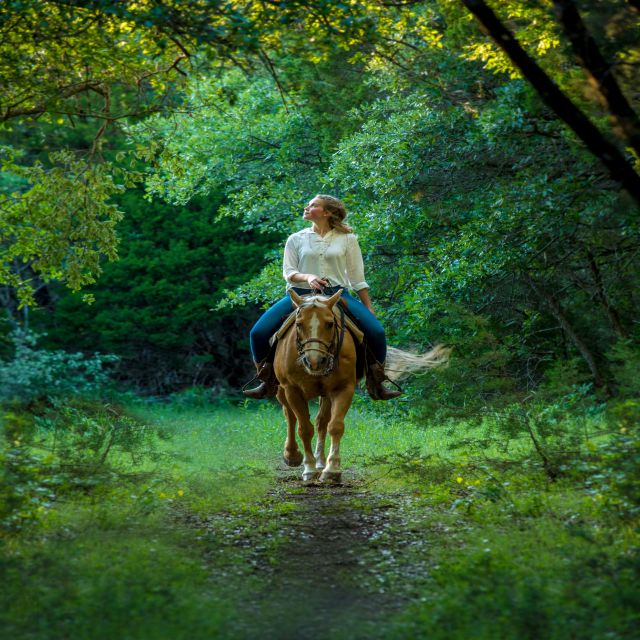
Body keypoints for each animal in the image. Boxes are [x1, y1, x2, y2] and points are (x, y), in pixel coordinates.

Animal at [272, 288, 448, 482]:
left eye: (330, 324)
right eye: (299, 324)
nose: (315, 361)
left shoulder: (343, 389)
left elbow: (335, 426)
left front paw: (331, 469)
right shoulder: (292, 390)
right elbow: (304, 429)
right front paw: (309, 469)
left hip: (326, 394)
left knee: (321, 422)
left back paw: (320, 461)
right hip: (282, 391)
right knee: (290, 415)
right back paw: (292, 455)